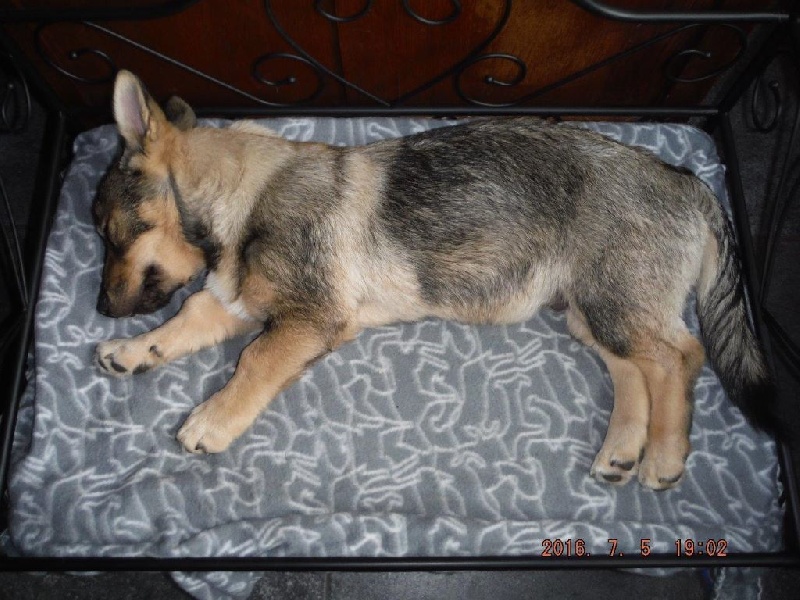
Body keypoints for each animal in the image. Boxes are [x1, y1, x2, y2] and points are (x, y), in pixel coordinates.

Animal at [93, 70, 773, 490]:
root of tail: (686, 181)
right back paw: (623, 450)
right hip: (590, 313)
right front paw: (135, 350)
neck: (247, 193)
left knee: (681, 356)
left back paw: (664, 454)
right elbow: (184, 319)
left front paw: (212, 418)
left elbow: (254, 362)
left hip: (616, 303)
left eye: (108, 232)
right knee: (637, 370)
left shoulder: (310, 317)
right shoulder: (233, 299)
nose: (99, 308)